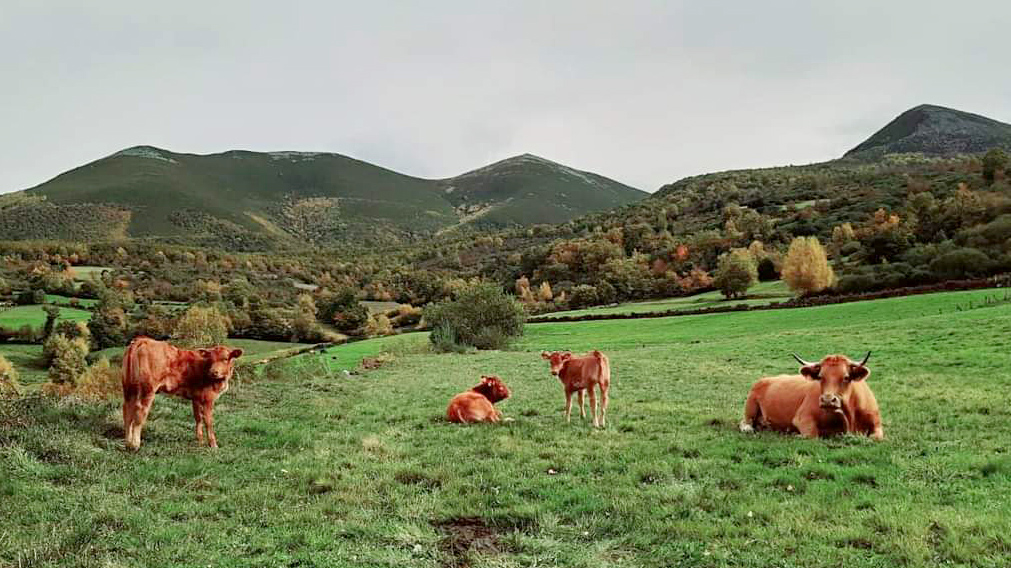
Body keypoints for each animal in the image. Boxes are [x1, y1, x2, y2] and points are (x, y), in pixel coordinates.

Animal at [736, 351, 885, 440]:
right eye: (820, 376)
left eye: (846, 377)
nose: (827, 400)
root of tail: (765, 379)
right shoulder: (802, 418)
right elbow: (812, 435)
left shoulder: (877, 425)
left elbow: (875, 437)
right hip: (750, 407)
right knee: (745, 423)